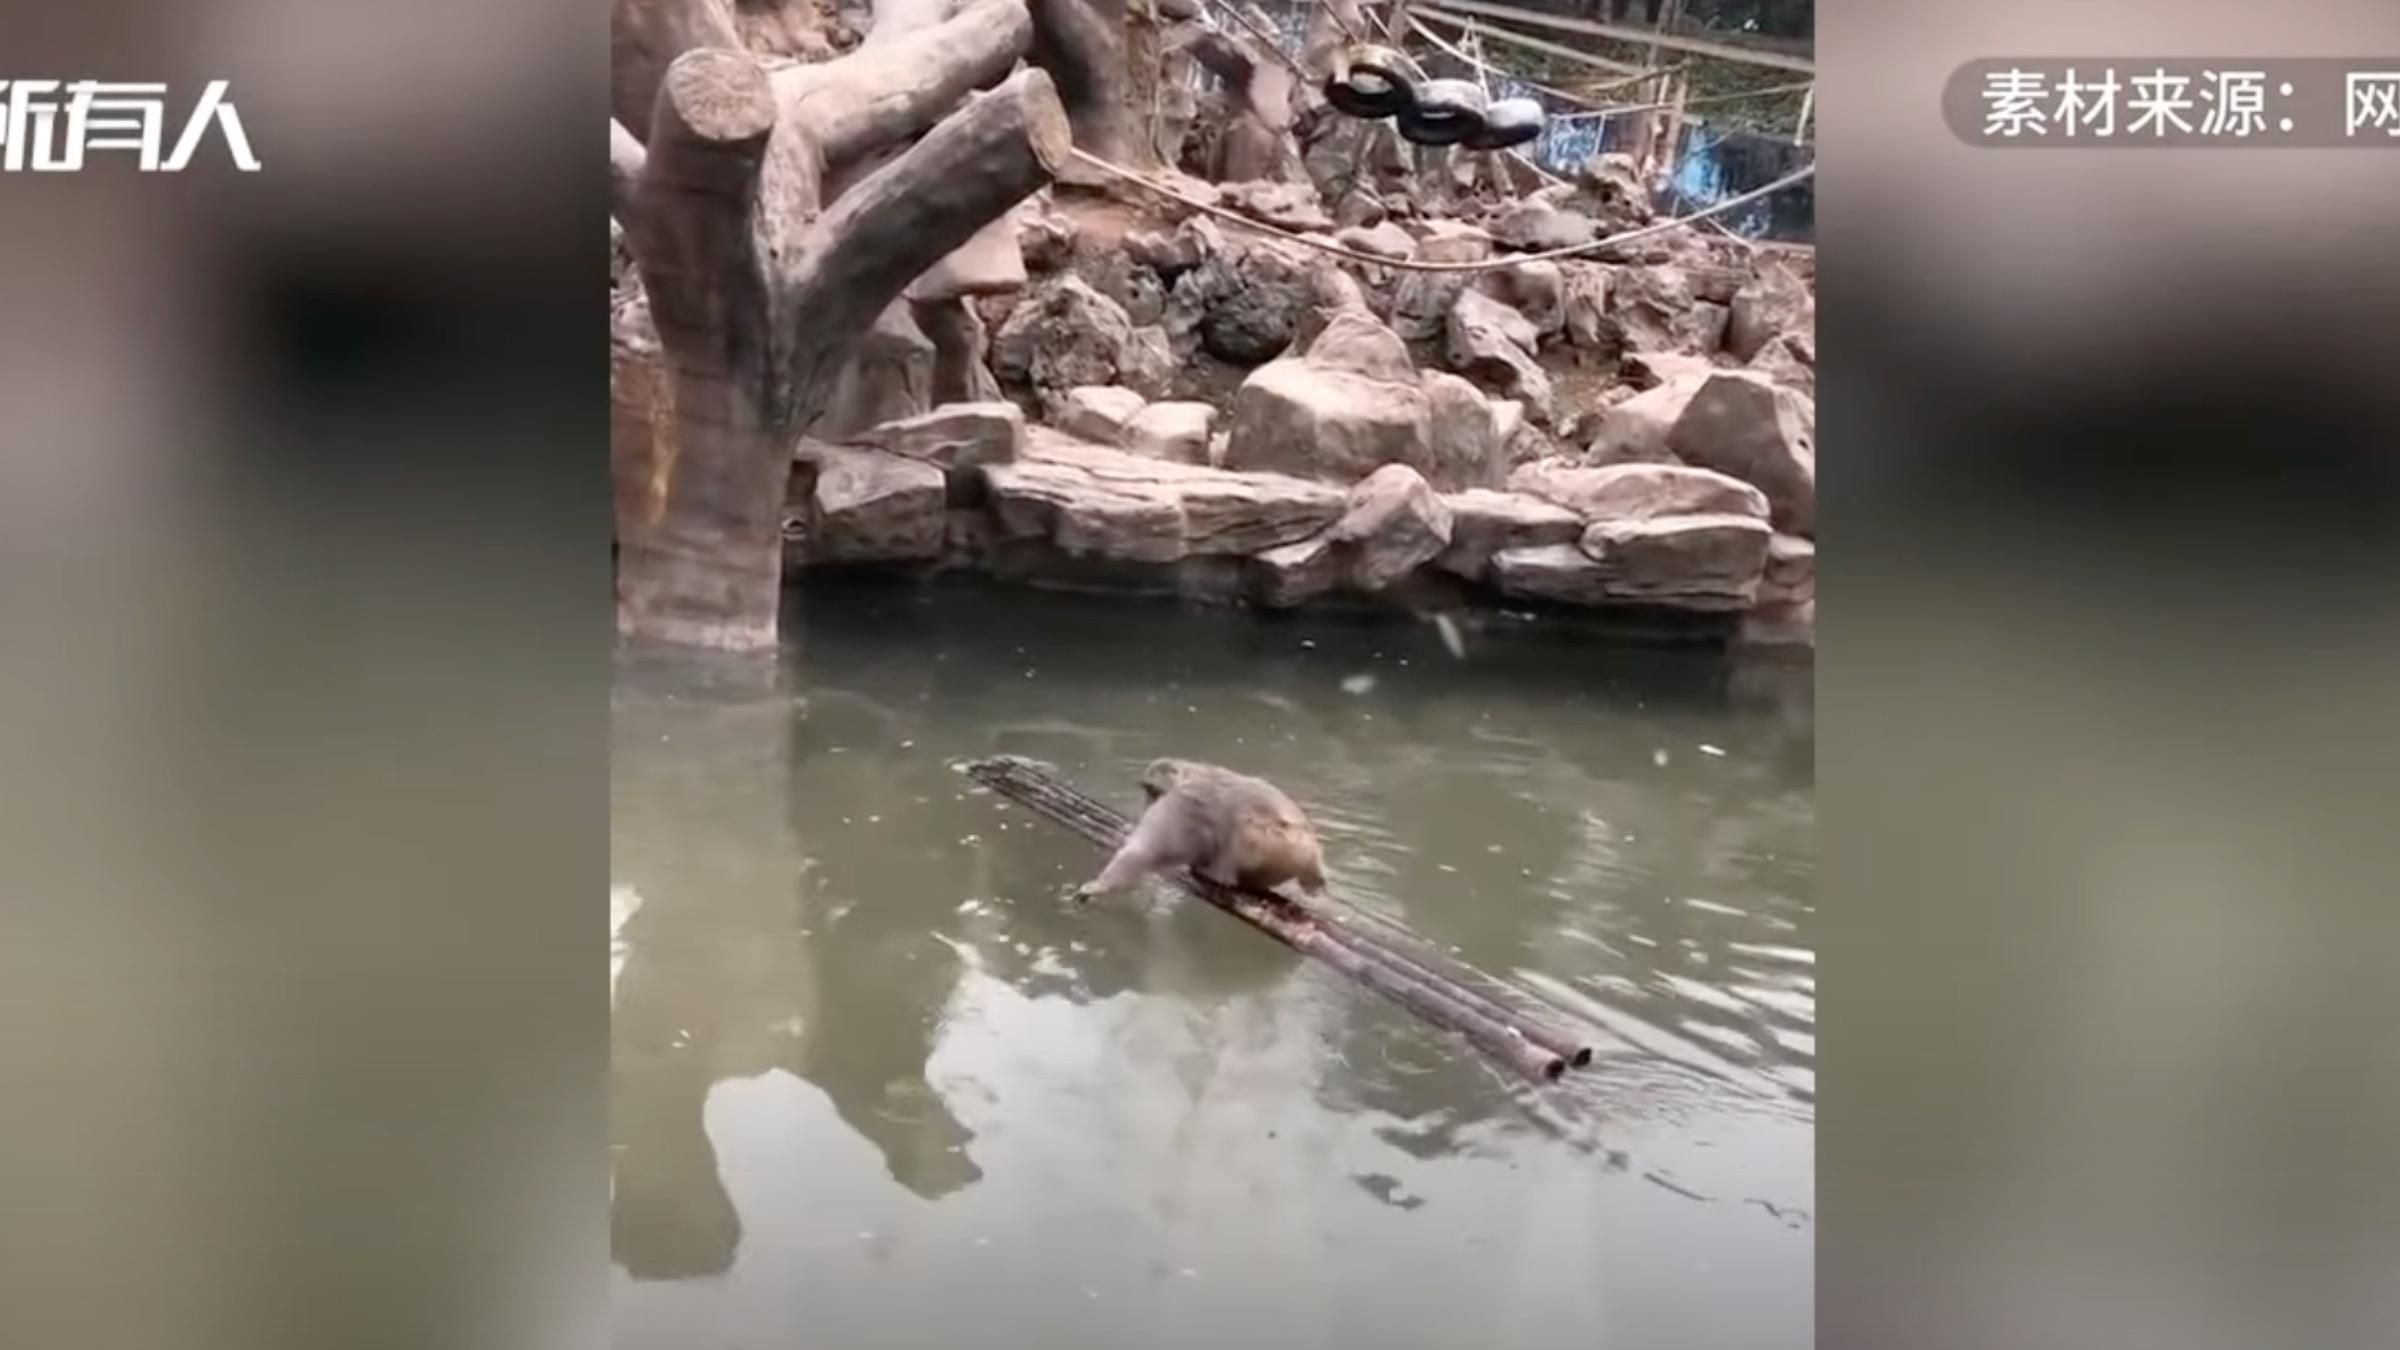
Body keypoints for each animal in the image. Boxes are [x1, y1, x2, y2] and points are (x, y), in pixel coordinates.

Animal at [1071, 758, 1328, 903]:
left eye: (1152, 791)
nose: (1147, 804)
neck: (1190, 773)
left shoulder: (1183, 801)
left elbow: (1146, 852)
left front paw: (1098, 886)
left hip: (1273, 842)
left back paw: (1216, 873)